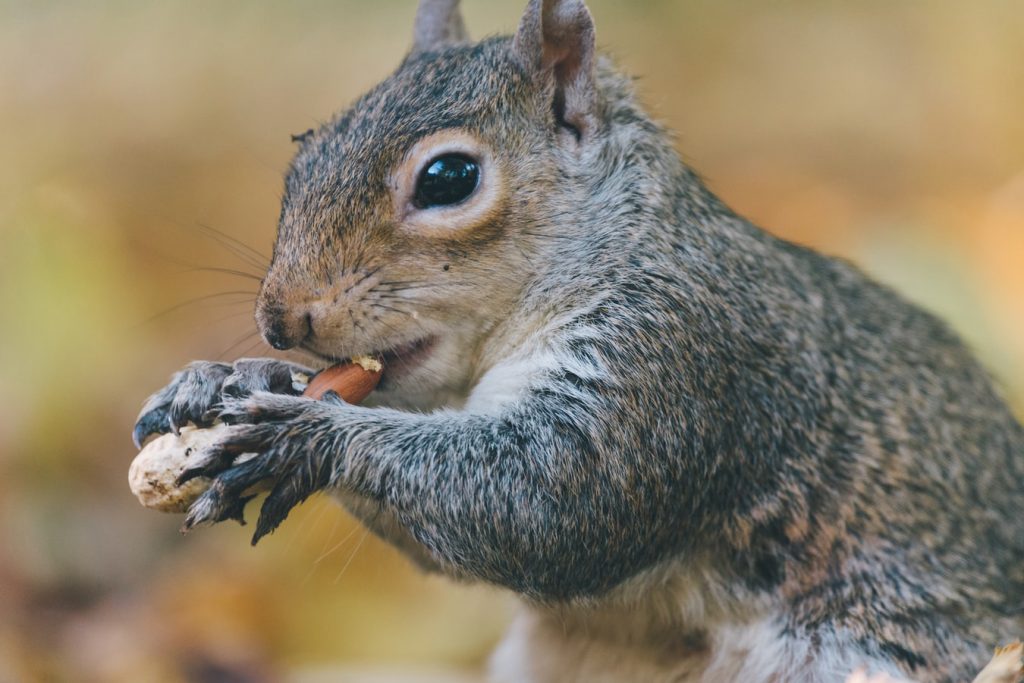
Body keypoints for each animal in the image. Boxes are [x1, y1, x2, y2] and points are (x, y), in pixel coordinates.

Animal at [134, 1, 1024, 683]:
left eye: (449, 178)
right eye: (303, 152)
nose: (282, 320)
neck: (620, 247)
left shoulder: (679, 359)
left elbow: (550, 503)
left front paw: (307, 435)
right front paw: (223, 380)